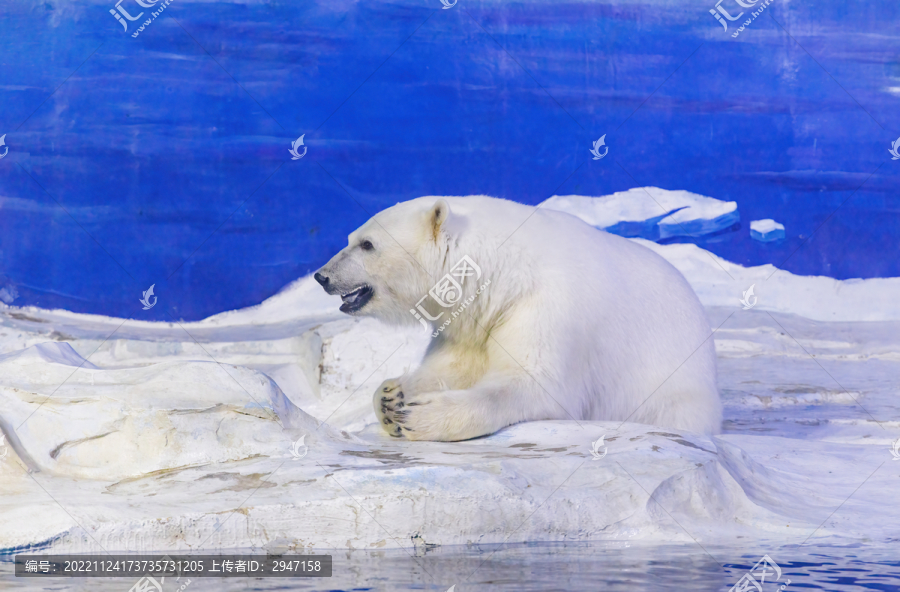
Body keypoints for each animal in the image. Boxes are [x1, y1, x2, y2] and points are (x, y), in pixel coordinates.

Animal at [312, 197, 720, 442]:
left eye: (367, 244)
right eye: (351, 237)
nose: (322, 276)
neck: (505, 271)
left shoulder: (547, 307)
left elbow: (532, 384)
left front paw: (421, 417)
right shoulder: (476, 318)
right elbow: (456, 364)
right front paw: (392, 395)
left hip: (672, 393)